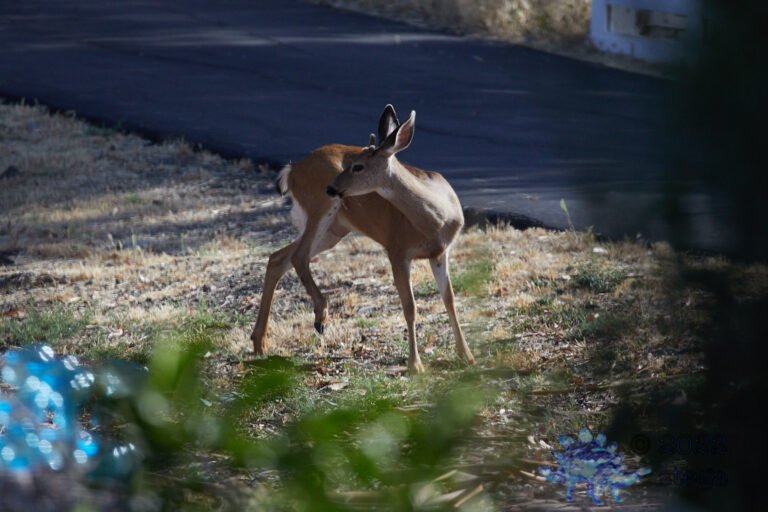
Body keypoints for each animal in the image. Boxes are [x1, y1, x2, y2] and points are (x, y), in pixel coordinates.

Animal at [250, 105, 475, 373]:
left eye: (358, 166)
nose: (331, 187)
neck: (435, 222)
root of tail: (292, 169)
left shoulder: (440, 252)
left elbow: (449, 299)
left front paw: (467, 355)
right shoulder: (396, 250)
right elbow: (410, 307)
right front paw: (415, 365)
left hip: (335, 230)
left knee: (278, 257)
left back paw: (260, 343)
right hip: (321, 208)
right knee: (298, 255)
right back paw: (320, 315)